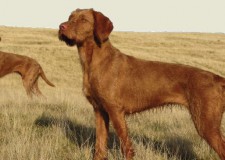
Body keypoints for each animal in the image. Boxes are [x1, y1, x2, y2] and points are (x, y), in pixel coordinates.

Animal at [59, 8, 225, 160]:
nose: (61, 26)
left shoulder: (115, 110)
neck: (94, 61)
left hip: (206, 124)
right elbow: (99, 146)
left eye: (84, 20)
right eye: (70, 17)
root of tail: (217, 78)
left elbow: (126, 146)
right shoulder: (99, 110)